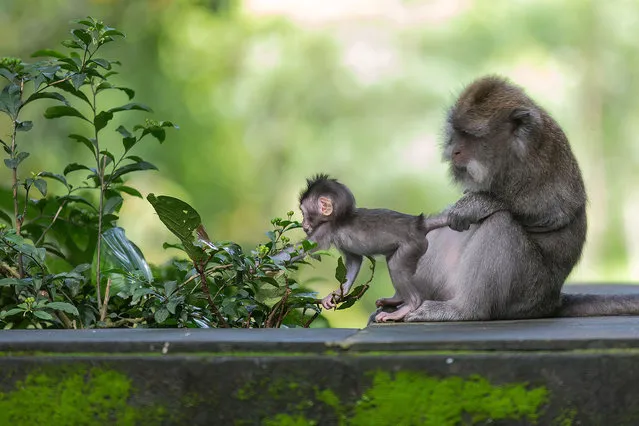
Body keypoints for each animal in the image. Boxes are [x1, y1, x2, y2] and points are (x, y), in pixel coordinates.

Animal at [298, 175, 444, 322]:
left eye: (303, 213)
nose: (303, 224)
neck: (342, 217)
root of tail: (418, 224)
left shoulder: (324, 229)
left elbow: (301, 250)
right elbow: (355, 260)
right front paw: (338, 294)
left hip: (412, 246)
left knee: (396, 265)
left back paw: (407, 306)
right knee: (392, 260)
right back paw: (396, 299)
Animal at [378, 75, 639, 322]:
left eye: (470, 136)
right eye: (457, 133)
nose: (454, 151)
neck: (511, 154)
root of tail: (552, 301)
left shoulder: (540, 162)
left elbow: (554, 213)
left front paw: (477, 205)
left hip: (527, 293)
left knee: (501, 224)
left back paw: (463, 310)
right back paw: (404, 300)